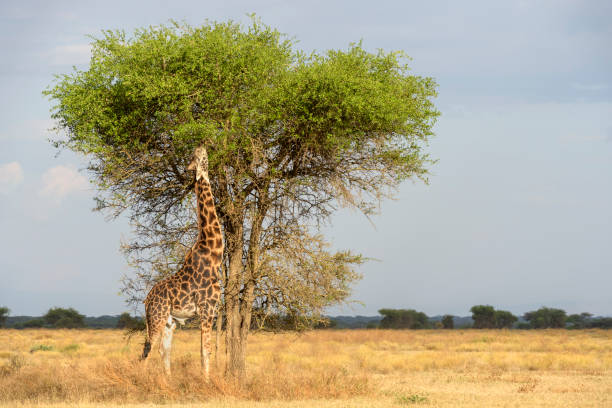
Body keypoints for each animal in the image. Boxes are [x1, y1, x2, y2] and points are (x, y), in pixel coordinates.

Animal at [140, 144, 222, 380]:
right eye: (195, 156)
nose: (187, 168)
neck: (215, 254)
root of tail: (147, 300)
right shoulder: (207, 308)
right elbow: (205, 349)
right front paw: (206, 382)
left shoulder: (211, 310)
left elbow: (205, 349)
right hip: (156, 317)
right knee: (147, 349)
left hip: (169, 321)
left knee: (163, 349)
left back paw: (168, 382)